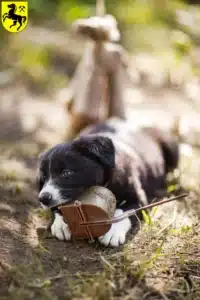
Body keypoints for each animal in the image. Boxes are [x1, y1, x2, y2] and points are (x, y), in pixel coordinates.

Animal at [38, 118, 179, 247]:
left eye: (66, 173)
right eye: (43, 177)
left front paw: (113, 232)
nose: (43, 198)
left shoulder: (139, 199)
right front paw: (60, 224)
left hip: (172, 148)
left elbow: (124, 211)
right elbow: (57, 207)